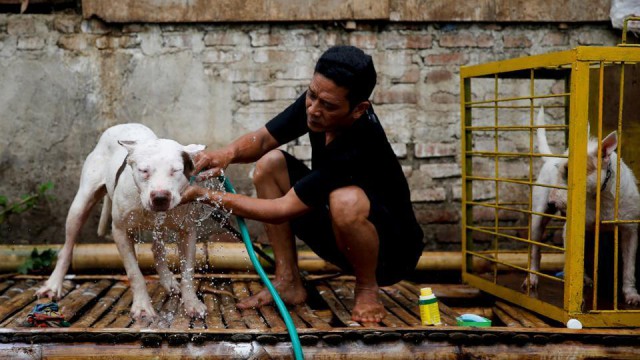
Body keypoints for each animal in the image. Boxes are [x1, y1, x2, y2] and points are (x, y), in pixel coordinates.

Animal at [36, 123, 208, 318]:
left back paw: (167, 279)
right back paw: (53, 285)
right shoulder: (120, 232)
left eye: (175, 171)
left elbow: (188, 272)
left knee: (157, 248)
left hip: (160, 224)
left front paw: (192, 303)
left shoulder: (187, 231)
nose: (160, 197)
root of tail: (123, 125)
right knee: (67, 248)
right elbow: (134, 273)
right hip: (80, 206)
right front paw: (142, 306)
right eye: (144, 171)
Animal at [520, 107, 640, 306]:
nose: (552, 202)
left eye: (570, 171)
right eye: (558, 169)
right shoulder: (571, 229)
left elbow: (629, 266)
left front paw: (631, 294)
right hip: (538, 218)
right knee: (536, 250)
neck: (602, 196)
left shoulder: (629, 229)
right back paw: (533, 278)